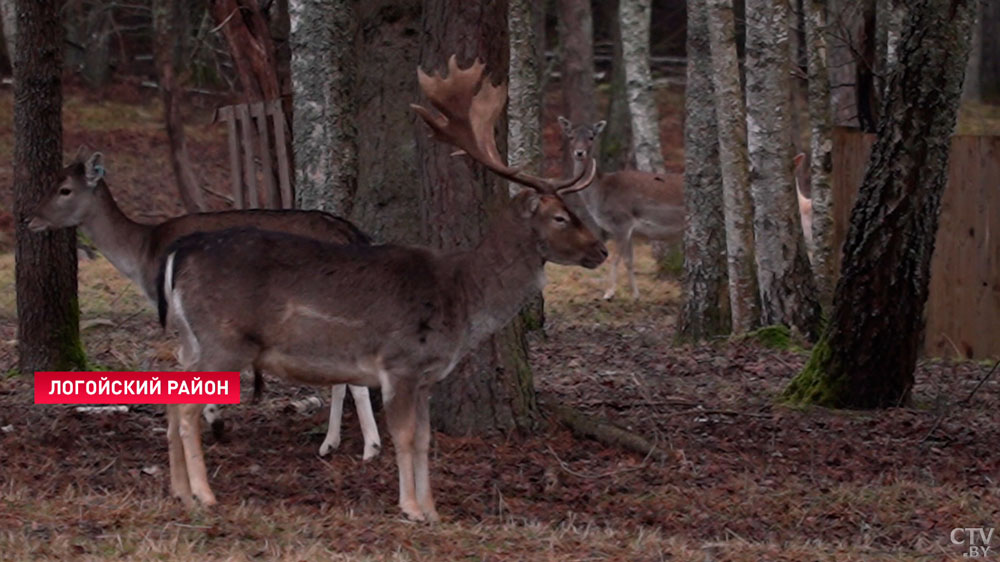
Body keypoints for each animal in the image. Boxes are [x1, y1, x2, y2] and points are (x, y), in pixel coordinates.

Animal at [27, 156, 380, 460]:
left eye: (64, 189)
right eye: (51, 181)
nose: (31, 219)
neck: (142, 255)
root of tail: (350, 233)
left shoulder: (177, 311)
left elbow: (189, 361)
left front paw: (213, 420)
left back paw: (368, 447)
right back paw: (329, 444)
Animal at [159, 54, 604, 520]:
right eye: (560, 217)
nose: (602, 249)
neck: (462, 296)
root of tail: (179, 254)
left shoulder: (426, 376)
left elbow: (425, 440)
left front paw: (432, 510)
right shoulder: (400, 362)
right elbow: (404, 438)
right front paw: (410, 507)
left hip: (195, 339)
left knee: (171, 398)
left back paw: (180, 492)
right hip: (222, 339)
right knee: (185, 407)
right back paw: (204, 495)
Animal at [556, 117, 688, 300]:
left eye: (591, 137)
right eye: (571, 136)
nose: (579, 152)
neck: (600, 194)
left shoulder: (622, 222)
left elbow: (614, 258)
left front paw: (609, 293)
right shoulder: (630, 230)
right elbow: (629, 261)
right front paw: (636, 295)